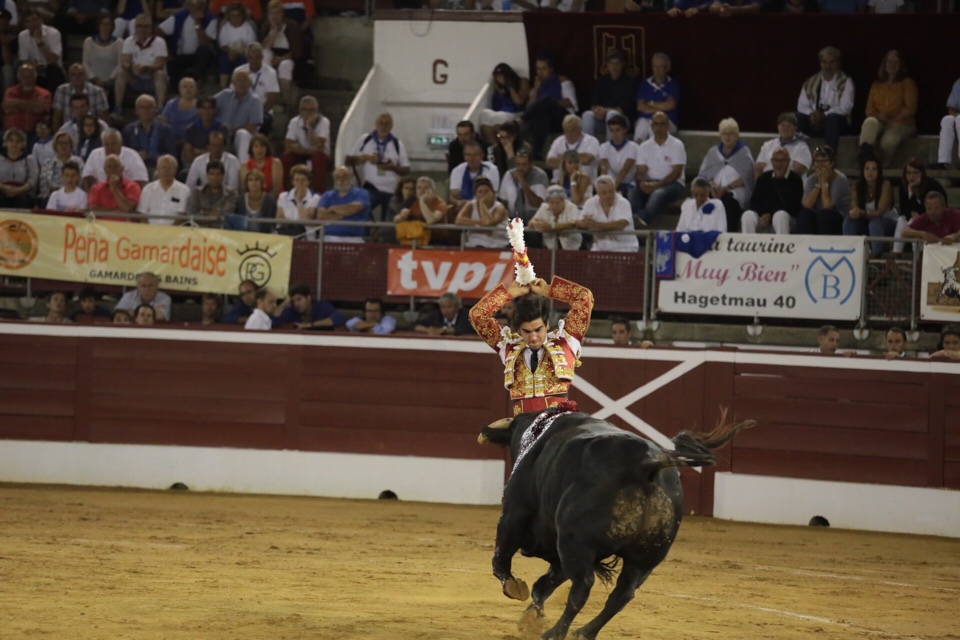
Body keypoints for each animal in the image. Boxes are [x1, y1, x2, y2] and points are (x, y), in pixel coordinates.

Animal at [476, 410, 752, 640]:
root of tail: (645, 463)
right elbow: (544, 584)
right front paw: (531, 617)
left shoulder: (515, 515)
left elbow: (503, 557)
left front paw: (514, 589)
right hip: (645, 558)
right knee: (622, 594)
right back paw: (584, 632)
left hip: (575, 543)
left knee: (582, 587)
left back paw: (556, 633)